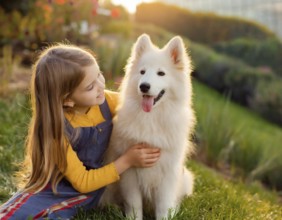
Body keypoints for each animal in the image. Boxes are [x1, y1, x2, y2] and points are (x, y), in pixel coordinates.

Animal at [101, 34, 196, 220]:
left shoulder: (167, 174)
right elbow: (134, 204)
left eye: (161, 73)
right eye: (142, 72)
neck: (151, 118)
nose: (144, 86)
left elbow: (163, 207)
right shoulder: (130, 173)